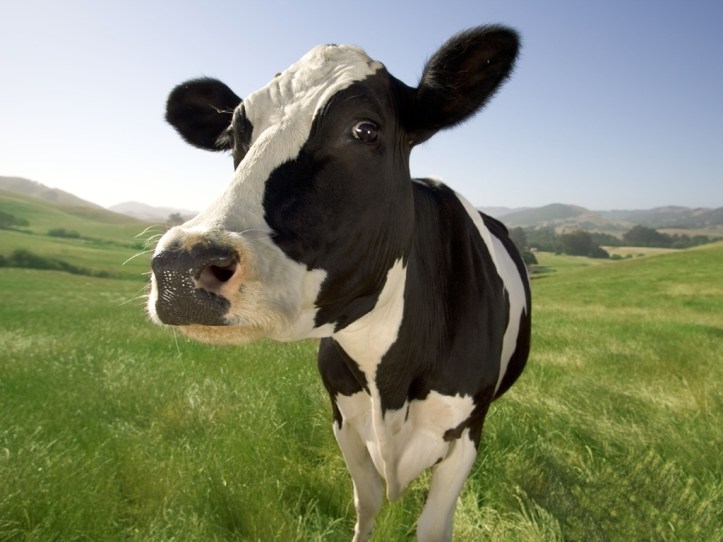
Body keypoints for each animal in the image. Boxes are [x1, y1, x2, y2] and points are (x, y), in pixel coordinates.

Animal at [148, 25, 530, 542]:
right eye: (234, 138)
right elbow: (366, 502)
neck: (388, 379)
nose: (179, 266)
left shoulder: (466, 432)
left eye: (364, 129)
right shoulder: (343, 420)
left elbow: (433, 526)